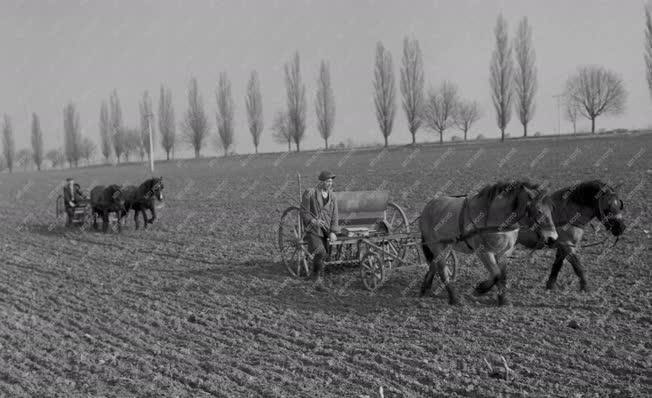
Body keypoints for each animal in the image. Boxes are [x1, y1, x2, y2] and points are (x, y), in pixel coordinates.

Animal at [420, 180, 556, 304]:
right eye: (539, 210)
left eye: (551, 210)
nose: (553, 238)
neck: (496, 218)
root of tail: (429, 206)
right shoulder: (484, 252)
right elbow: (496, 274)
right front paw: (480, 289)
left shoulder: (504, 252)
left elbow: (502, 275)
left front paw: (502, 299)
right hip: (436, 245)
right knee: (441, 268)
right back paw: (453, 298)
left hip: (447, 246)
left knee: (434, 264)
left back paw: (425, 287)